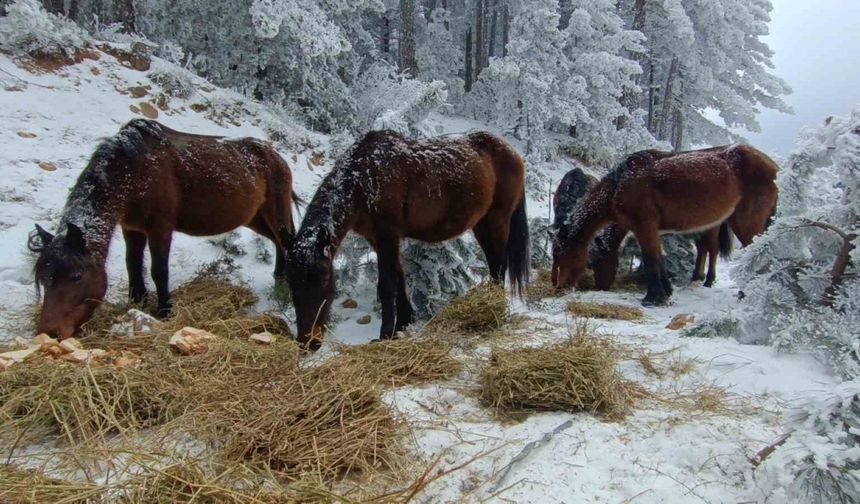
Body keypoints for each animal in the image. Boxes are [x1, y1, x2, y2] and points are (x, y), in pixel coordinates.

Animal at [28, 118, 298, 338]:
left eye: (76, 276)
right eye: (43, 279)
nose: (49, 333)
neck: (133, 171)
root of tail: (277, 157)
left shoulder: (160, 229)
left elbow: (159, 270)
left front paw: (165, 309)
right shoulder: (132, 228)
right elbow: (133, 264)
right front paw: (138, 300)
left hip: (275, 211)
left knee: (286, 241)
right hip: (254, 217)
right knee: (277, 242)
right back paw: (279, 278)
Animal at [288, 130, 532, 350]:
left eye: (322, 280)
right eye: (292, 285)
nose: (308, 342)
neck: (364, 178)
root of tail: (513, 154)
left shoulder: (388, 234)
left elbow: (387, 284)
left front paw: (386, 334)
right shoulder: (377, 238)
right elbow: (399, 277)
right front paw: (403, 325)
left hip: (498, 220)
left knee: (499, 265)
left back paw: (496, 310)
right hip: (481, 224)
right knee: (493, 263)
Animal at [552, 144, 780, 306]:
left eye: (563, 254)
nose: (559, 286)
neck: (620, 184)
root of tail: (773, 166)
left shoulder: (644, 226)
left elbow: (651, 260)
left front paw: (653, 299)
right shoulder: (652, 230)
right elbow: (659, 259)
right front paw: (667, 292)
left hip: (744, 223)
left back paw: (742, 293)